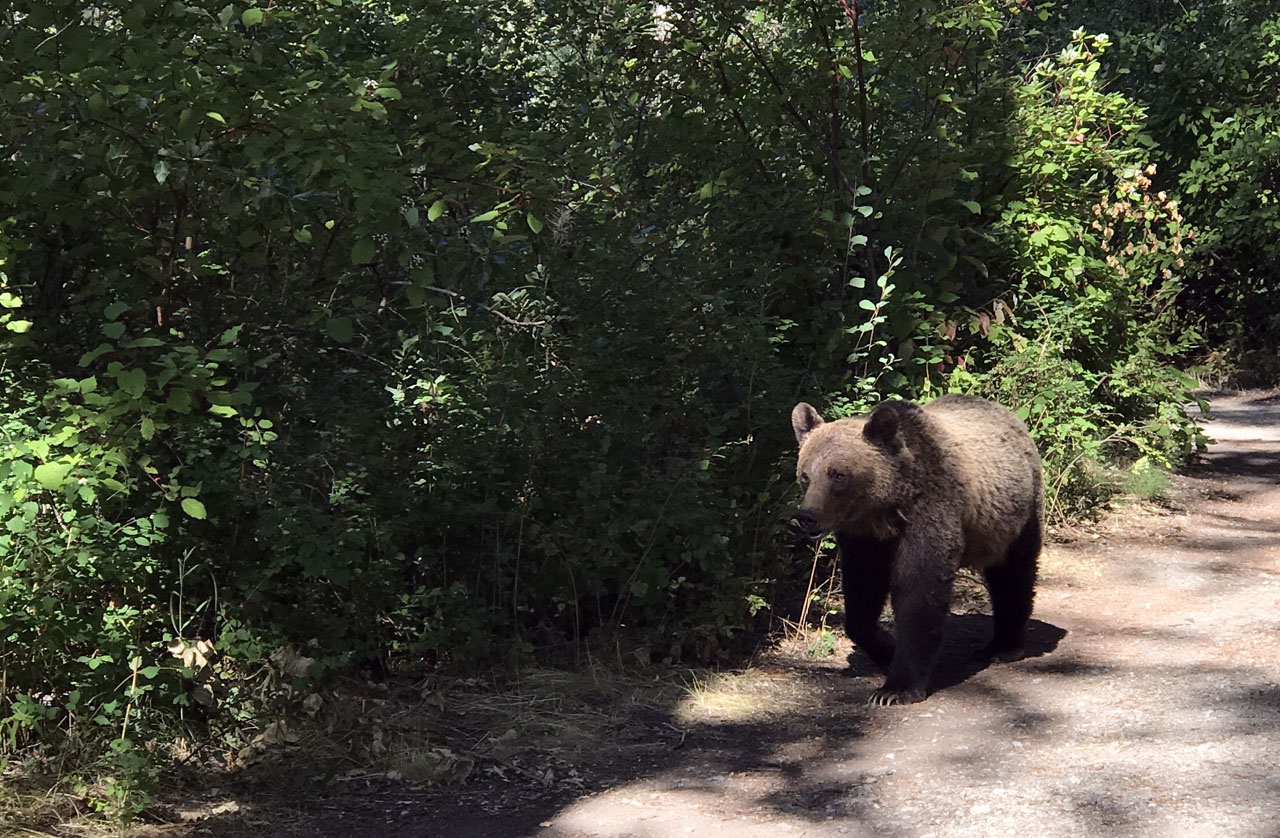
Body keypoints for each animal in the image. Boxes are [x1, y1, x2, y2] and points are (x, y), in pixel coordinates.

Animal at [788, 396, 1039, 706]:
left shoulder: (930, 511)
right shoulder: (863, 539)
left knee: (1013, 573)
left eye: (838, 474)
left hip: (1013, 515)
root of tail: (1009, 415)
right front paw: (886, 648)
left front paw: (895, 689)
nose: (807, 516)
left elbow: (919, 593)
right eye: (805, 475)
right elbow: (862, 595)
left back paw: (1003, 646)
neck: (885, 509)